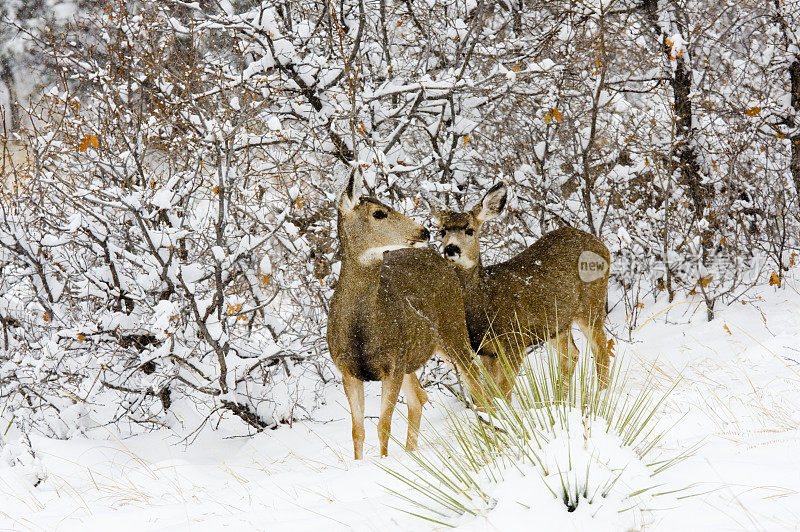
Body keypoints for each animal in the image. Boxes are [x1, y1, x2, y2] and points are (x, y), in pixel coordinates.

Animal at [324, 169, 482, 458]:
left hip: (452, 328)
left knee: (474, 378)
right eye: (379, 213)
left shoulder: (393, 364)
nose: (425, 231)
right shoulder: (348, 371)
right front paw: (360, 464)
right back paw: (412, 453)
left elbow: (383, 426)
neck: (361, 329)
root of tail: (441, 259)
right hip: (413, 354)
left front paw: (384, 462)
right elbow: (357, 432)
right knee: (420, 397)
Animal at [434, 181, 608, 396]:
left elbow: (504, 390)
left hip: (591, 304)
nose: (451, 248)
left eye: (470, 230)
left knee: (601, 351)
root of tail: (601, 244)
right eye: (442, 231)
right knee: (572, 354)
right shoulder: (485, 350)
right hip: (557, 322)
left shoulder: (515, 340)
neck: (484, 298)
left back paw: (602, 395)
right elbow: (492, 393)